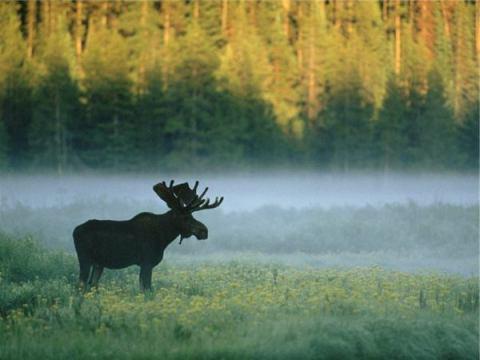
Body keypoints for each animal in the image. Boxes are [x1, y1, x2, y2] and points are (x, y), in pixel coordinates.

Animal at [72, 181, 223, 292]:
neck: (164, 236)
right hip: (85, 258)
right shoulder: (147, 262)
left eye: (192, 215)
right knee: (80, 284)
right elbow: (147, 290)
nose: (204, 231)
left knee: (92, 285)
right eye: (185, 217)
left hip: (99, 263)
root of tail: (74, 231)